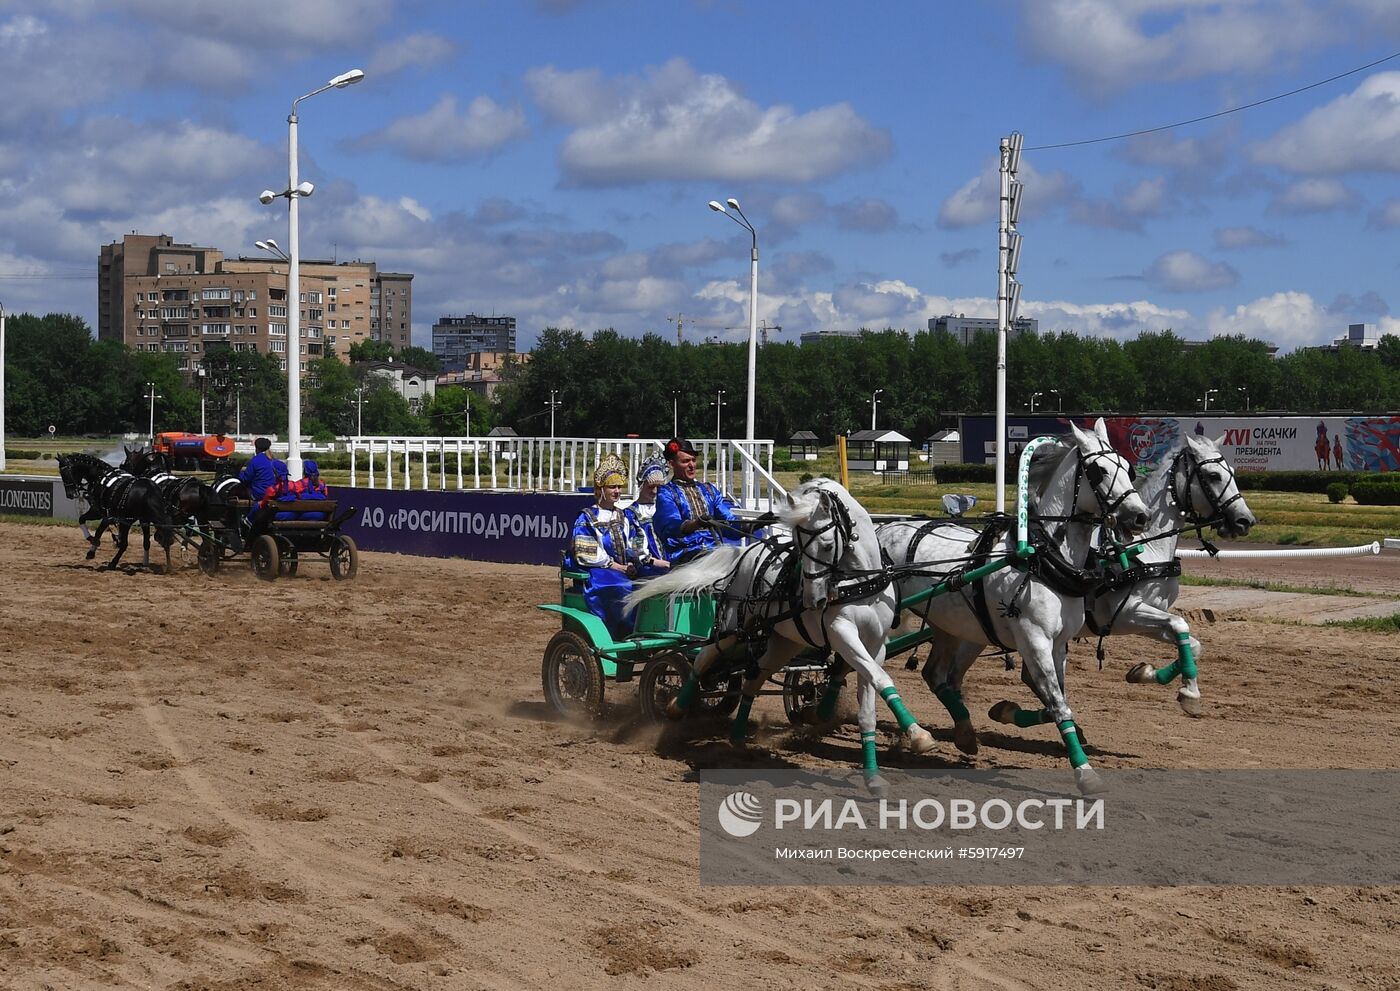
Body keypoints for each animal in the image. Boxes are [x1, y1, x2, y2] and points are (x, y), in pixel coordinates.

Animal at [630, 475, 935, 795]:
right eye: (798, 545)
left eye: (827, 545)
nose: (814, 601)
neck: (859, 582)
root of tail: (744, 553)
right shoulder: (842, 635)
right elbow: (881, 678)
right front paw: (920, 736)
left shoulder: (875, 645)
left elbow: (871, 700)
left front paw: (875, 776)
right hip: (732, 629)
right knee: (703, 658)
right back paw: (675, 705)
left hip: (783, 642)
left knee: (752, 681)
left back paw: (737, 739)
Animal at [873, 422, 1148, 795]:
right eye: (1098, 471)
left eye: (1129, 468)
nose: (1141, 516)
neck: (1042, 556)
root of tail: (882, 528)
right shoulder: (1035, 640)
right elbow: (1058, 704)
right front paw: (1085, 773)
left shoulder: (1057, 644)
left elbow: (1056, 702)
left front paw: (1004, 711)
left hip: (954, 627)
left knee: (937, 675)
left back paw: (964, 734)